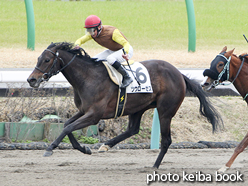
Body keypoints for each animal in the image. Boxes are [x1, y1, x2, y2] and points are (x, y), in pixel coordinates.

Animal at [28, 42, 222, 169]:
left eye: (46, 60)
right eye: (38, 58)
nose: (31, 80)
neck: (88, 77)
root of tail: (180, 74)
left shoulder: (94, 115)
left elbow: (68, 128)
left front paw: (50, 148)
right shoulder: (84, 111)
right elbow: (67, 125)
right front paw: (84, 148)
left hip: (165, 111)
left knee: (166, 140)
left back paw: (155, 166)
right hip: (138, 107)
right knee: (133, 129)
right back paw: (106, 145)